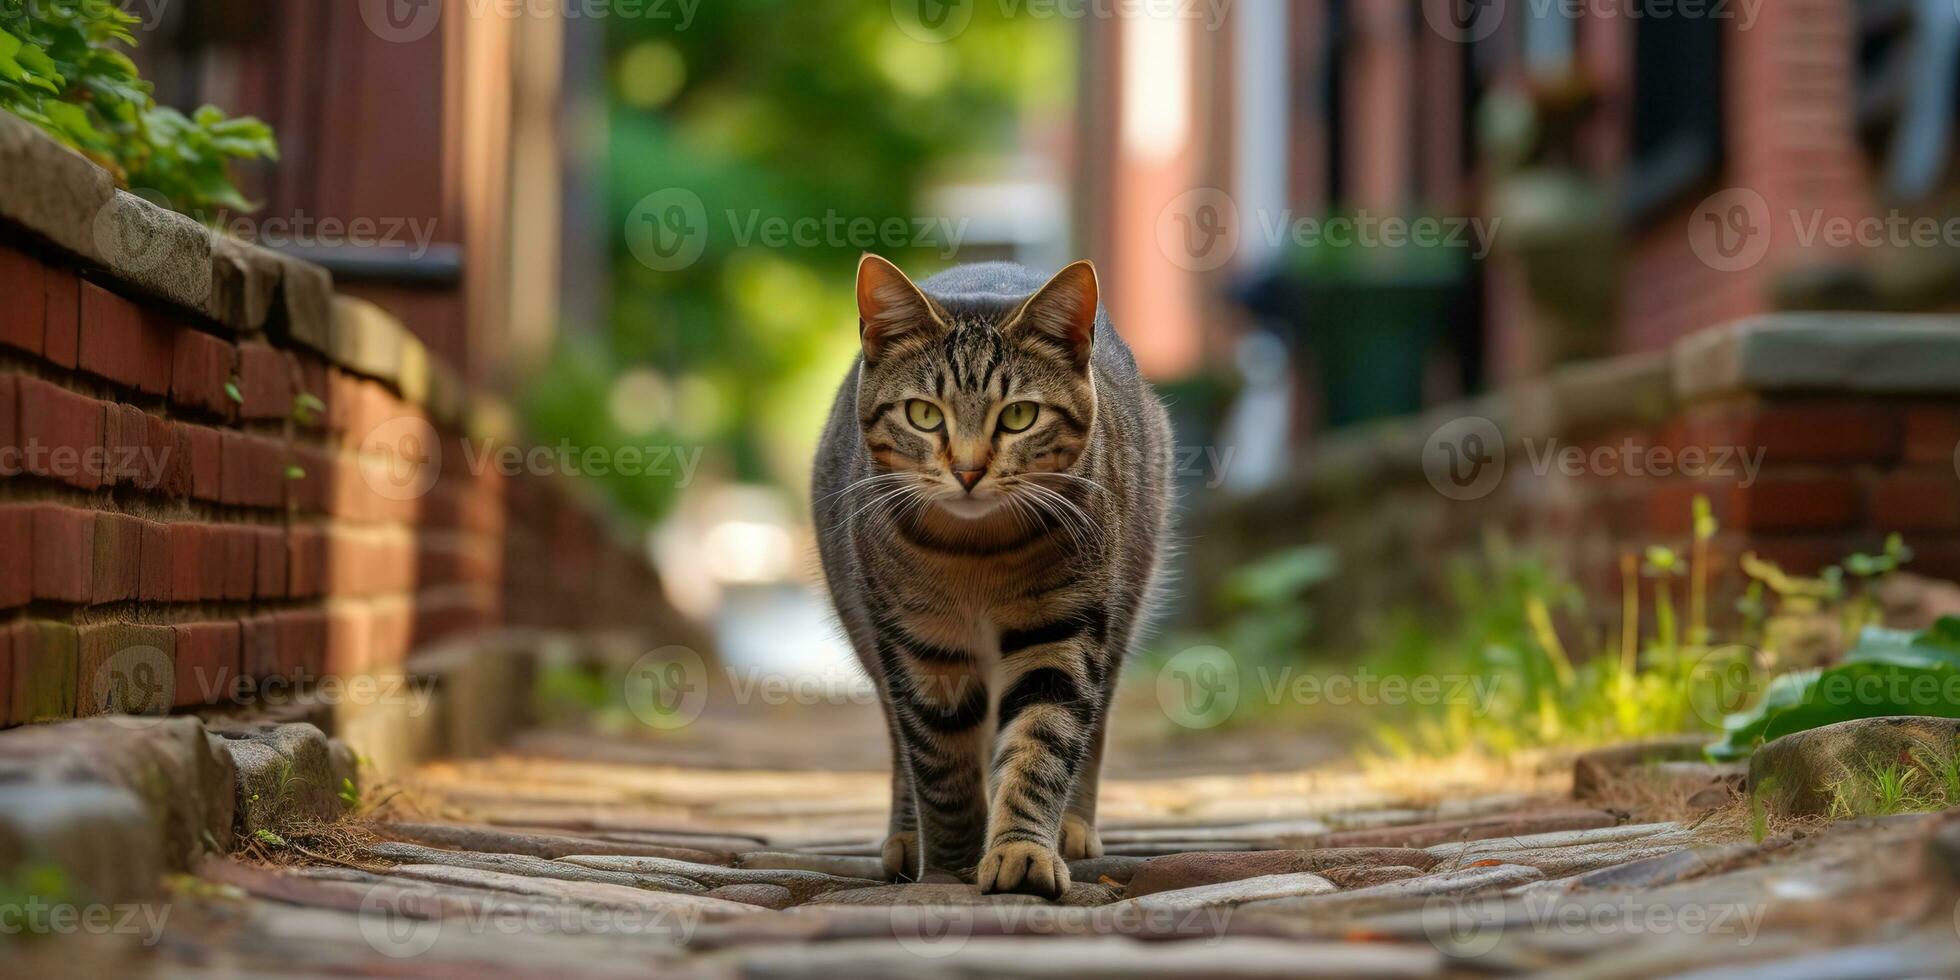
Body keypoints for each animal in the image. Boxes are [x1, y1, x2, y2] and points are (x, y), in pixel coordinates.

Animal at [807, 254, 1160, 897]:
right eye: (924, 414)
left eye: (1019, 415)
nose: (969, 470)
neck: (977, 554)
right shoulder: (920, 644)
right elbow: (940, 766)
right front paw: (948, 870)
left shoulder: (1062, 631)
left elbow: (1041, 746)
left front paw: (1021, 849)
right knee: (901, 743)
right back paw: (906, 839)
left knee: (1090, 731)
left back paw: (1071, 825)